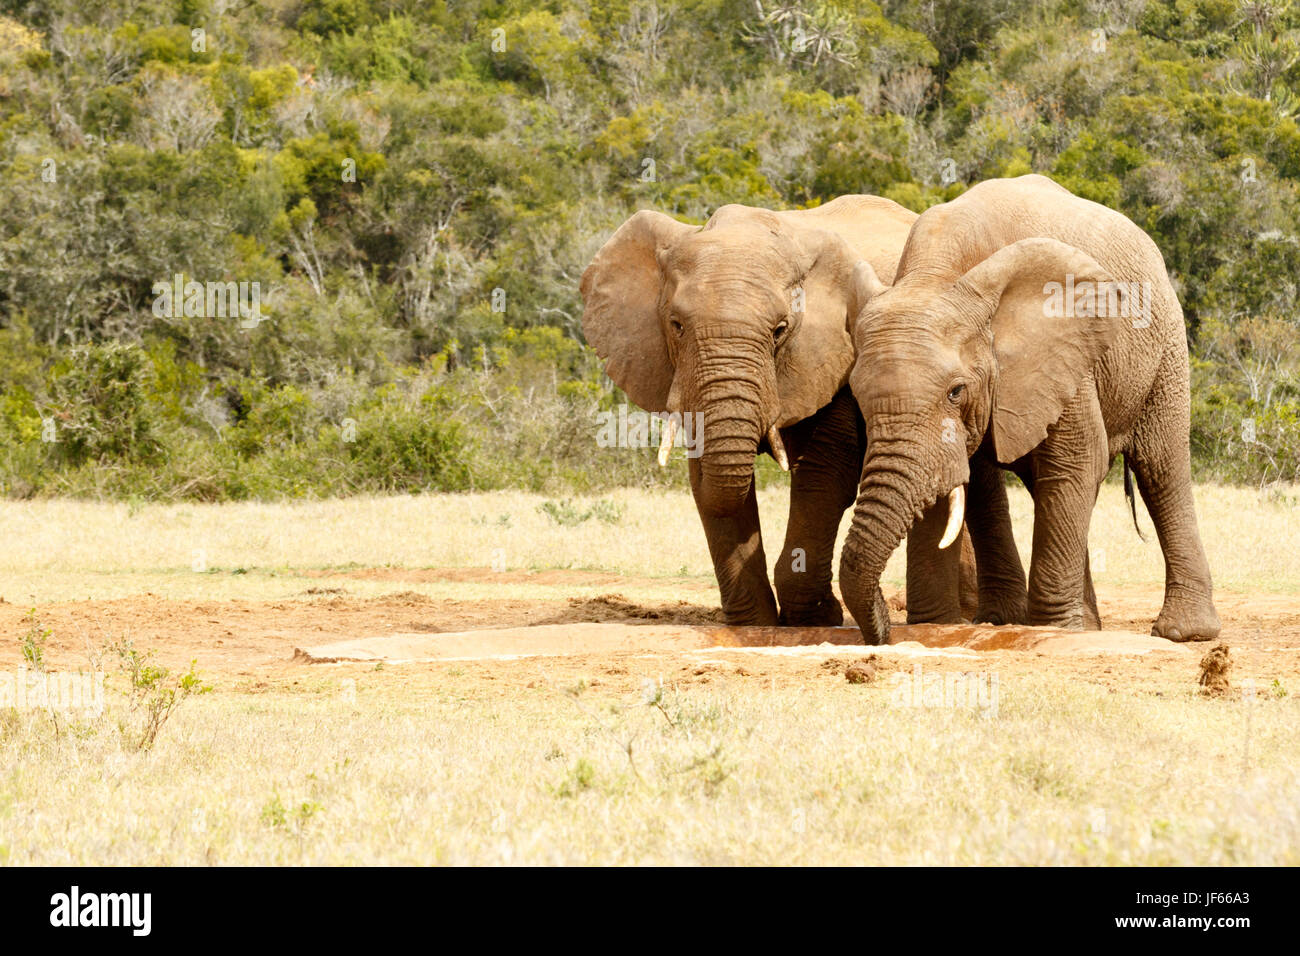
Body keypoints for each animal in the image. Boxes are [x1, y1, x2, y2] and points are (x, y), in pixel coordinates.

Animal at [837, 175, 1222, 647]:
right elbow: (962, 479)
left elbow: (1077, 462)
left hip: (1164, 344)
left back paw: (1182, 633)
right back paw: (1073, 623)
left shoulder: (1064, 351)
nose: (883, 632)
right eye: (858, 397)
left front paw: (1052, 630)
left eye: (955, 392)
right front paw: (941, 625)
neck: (938, 272)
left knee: (1160, 468)